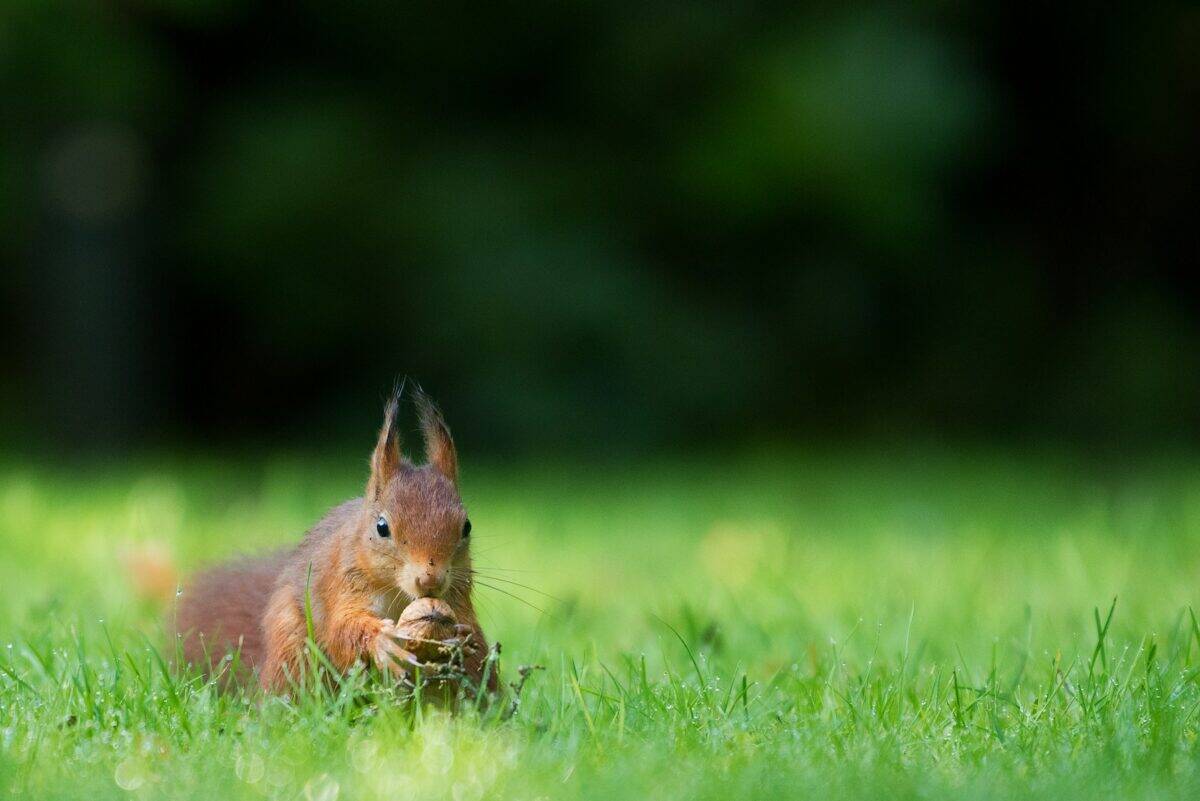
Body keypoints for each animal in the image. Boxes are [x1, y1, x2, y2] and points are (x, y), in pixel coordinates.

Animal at [173, 384, 496, 694]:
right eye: (382, 527)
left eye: (466, 527)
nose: (430, 580)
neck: (398, 592)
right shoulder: (339, 581)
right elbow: (340, 629)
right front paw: (381, 641)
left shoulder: (457, 592)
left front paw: (462, 636)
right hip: (292, 651)